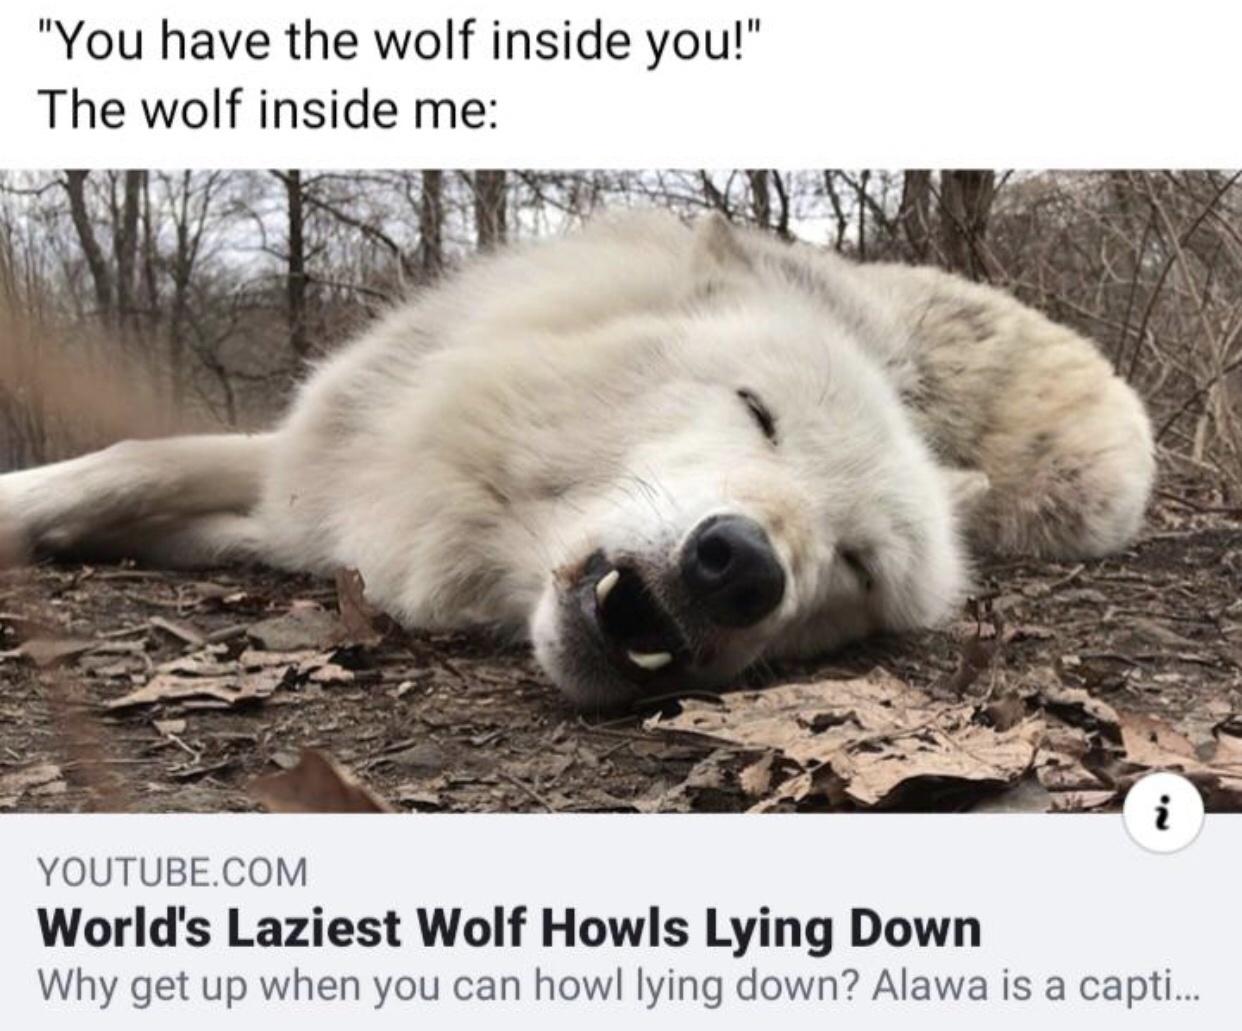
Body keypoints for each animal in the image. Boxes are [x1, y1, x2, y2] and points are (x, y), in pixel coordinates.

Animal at [0, 212, 1154, 707]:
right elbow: (131, 459)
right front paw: (29, 509)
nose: (741, 567)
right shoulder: (319, 477)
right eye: (758, 412)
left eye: (857, 565)